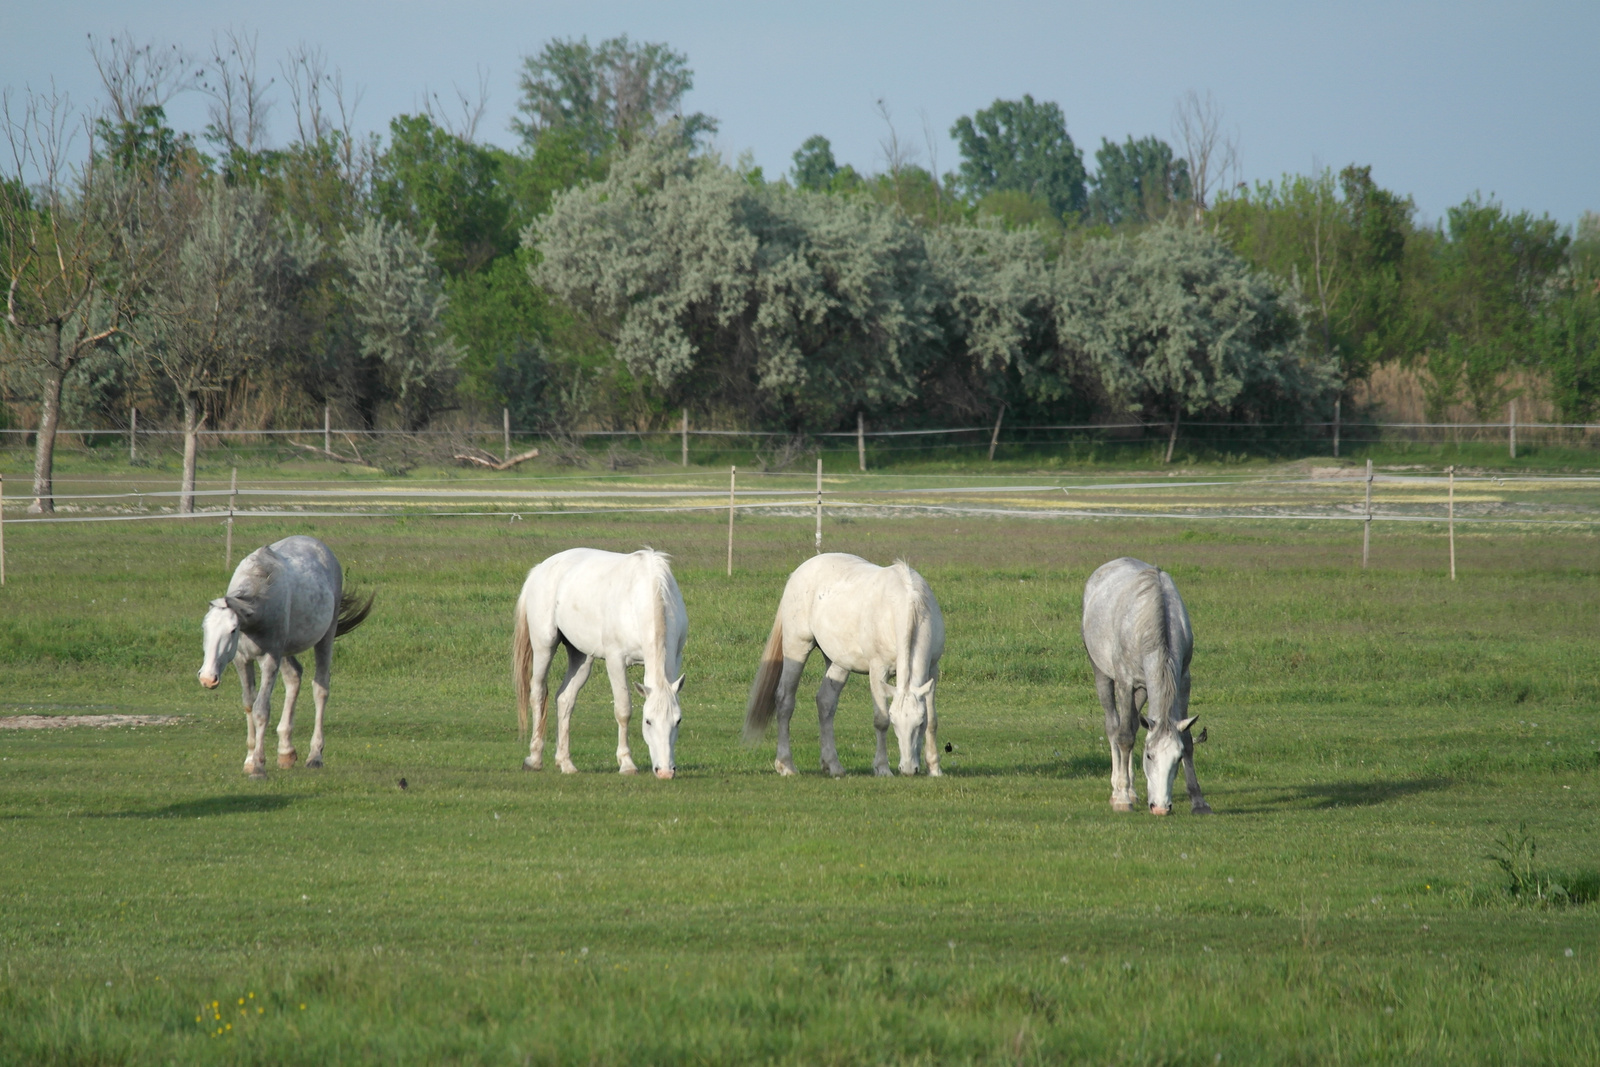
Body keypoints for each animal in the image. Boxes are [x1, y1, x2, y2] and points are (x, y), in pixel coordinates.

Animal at [196, 537, 371, 780]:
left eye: (232, 630)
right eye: (205, 628)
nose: (207, 678)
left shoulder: (270, 660)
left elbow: (261, 709)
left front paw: (259, 766)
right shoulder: (242, 660)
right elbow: (248, 704)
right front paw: (250, 760)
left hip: (324, 638)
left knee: (321, 689)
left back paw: (314, 756)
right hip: (286, 652)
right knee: (294, 678)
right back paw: (286, 752)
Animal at [512, 547, 688, 780]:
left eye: (678, 721)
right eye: (648, 720)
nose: (666, 771)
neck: (642, 596)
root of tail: (539, 569)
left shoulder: (675, 658)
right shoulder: (615, 660)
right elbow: (623, 710)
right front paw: (626, 763)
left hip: (581, 657)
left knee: (565, 699)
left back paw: (565, 762)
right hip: (544, 646)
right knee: (538, 693)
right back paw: (534, 758)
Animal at [745, 556, 940, 780]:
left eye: (919, 723)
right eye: (895, 722)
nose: (908, 769)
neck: (908, 607)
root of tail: (800, 570)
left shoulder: (932, 670)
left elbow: (933, 720)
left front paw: (934, 768)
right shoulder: (878, 670)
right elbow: (880, 720)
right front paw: (882, 768)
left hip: (838, 663)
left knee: (825, 703)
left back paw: (833, 765)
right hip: (797, 647)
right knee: (785, 700)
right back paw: (786, 765)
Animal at [1081, 559, 1203, 819]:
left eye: (1177, 758)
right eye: (1149, 755)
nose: (1160, 807)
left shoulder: (1183, 679)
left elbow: (1187, 740)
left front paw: (1199, 802)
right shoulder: (1125, 682)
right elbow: (1124, 736)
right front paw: (1122, 799)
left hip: (1143, 688)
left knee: (1135, 724)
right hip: (1102, 674)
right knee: (1114, 726)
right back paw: (1118, 789)